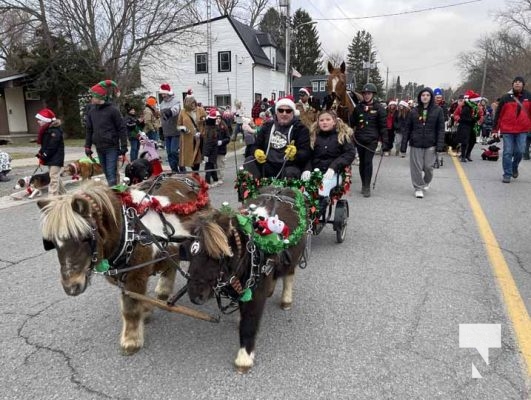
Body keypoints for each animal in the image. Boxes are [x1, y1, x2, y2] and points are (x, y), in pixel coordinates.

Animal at [37, 174, 210, 354]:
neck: (128, 230)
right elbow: (137, 300)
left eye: (85, 237)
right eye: (52, 242)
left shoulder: (135, 277)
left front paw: (131, 340)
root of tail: (189, 177)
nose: (71, 287)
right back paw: (163, 292)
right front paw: (146, 310)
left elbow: (130, 309)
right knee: (170, 266)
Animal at [184, 186, 308, 374]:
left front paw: (244, 358)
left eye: (218, 255)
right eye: (191, 252)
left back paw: (286, 300)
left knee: (289, 276)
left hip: (294, 258)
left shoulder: (255, 294)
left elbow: (249, 323)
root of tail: (283, 188)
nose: (195, 296)